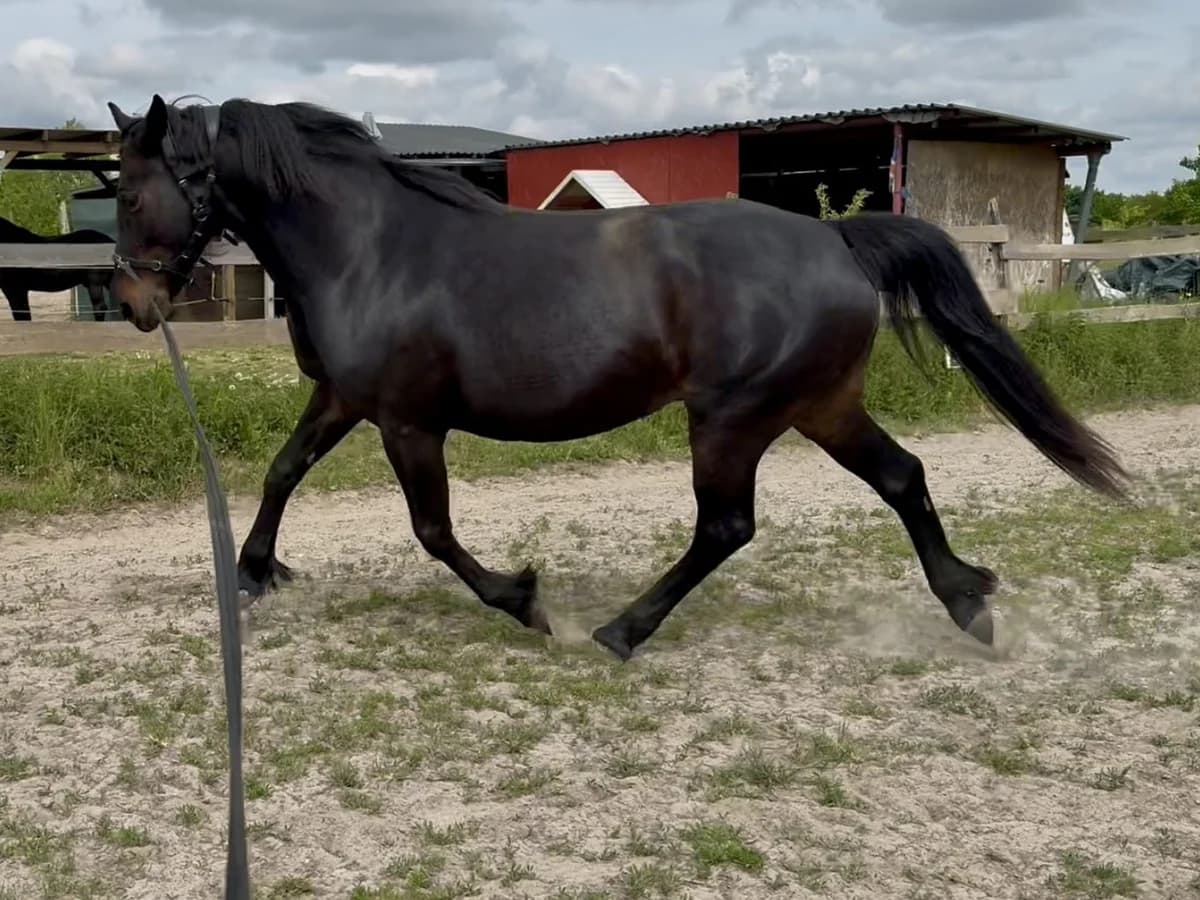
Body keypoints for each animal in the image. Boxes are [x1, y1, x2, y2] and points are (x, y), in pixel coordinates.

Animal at [102, 94, 1130, 661]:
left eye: (129, 192)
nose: (136, 302)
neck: (371, 249)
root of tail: (836, 238)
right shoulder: (345, 399)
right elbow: (283, 471)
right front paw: (253, 571)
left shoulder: (406, 421)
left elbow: (433, 531)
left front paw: (525, 601)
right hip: (820, 407)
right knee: (903, 478)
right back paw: (969, 604)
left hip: (734, 418)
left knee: (727, 526)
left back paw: (621, 633)